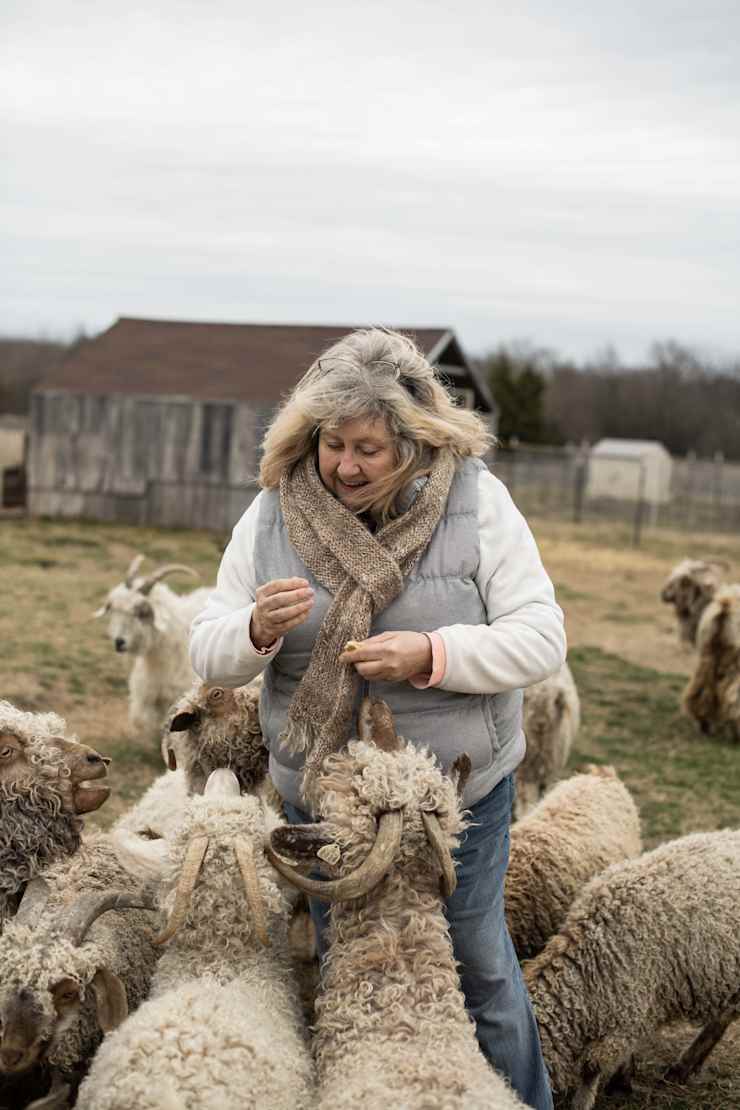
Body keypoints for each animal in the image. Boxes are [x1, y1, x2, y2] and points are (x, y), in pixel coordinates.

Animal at [516, 661, 581, 818]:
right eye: (528, 699)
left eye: (554, 701)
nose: (541, 723)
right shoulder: (524, 773)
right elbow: (526, 799)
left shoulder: (551, 771)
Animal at [682, 583, 740, 741]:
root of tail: (725, 605)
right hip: (733, 660)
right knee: (733, 698)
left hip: (707, 654)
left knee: (701, 692)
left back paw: (704, 724)